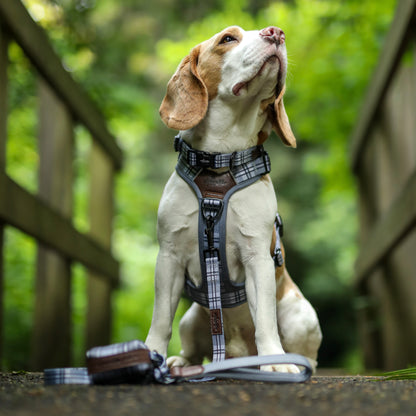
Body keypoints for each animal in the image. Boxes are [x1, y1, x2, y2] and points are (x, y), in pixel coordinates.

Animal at [145, 26, 324, 372]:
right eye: (228, 39)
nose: (276, 32)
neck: (220, 160)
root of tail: (237, 355)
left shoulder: (257, 258)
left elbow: (265, 319)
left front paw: (276, 361)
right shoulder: (169, 257)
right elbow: (160, 317)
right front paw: (150, 355)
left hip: (302, 316)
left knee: (307, 353)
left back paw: (295, 363)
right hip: (191, 319)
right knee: (192, 347)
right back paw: (180, 361)